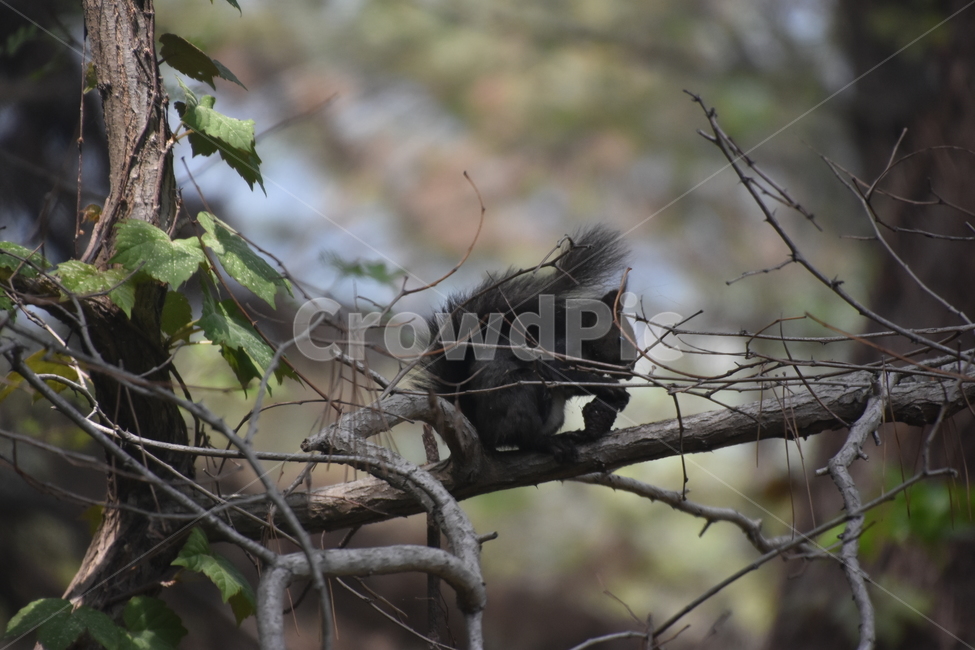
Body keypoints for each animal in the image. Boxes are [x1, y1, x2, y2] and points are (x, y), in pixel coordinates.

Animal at [420, 226, 636, 462]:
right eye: (620, 339)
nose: (631, 368)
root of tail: (481, 431)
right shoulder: (557, 351)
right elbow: (568, 376)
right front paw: (609, 386)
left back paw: (569, 436)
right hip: (521, 392)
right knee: (523, 437)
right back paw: (549, 443)